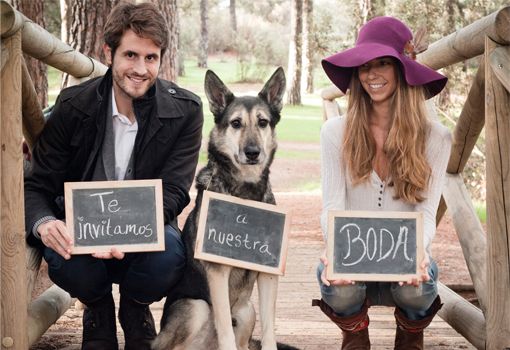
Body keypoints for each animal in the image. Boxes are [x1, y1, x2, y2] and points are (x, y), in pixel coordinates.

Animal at [152, 67, 294, 348]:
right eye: (236, 123)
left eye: (263, 122)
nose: (252, 152)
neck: (247, 194)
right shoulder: (217, 273)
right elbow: (225, 328)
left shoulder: (268, 274)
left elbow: (269, 330)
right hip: (196, 307)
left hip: (247, 311)